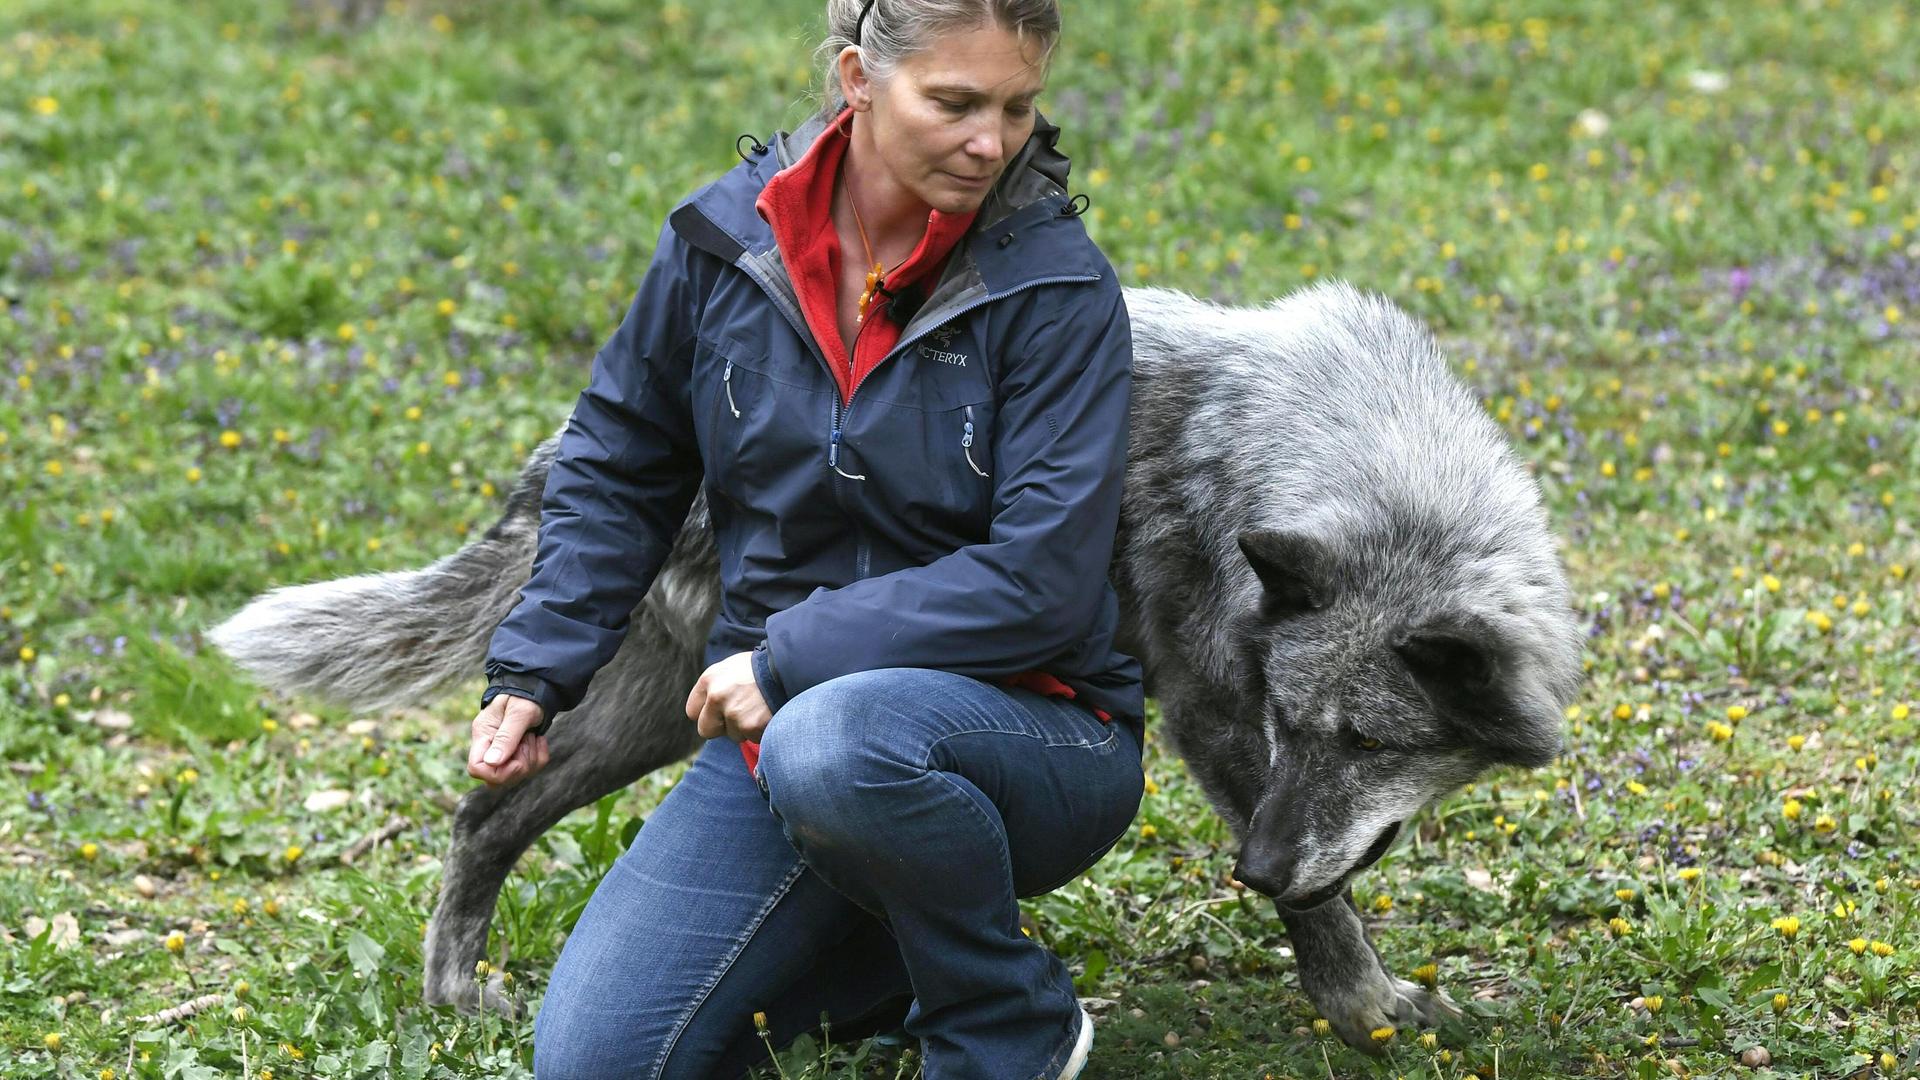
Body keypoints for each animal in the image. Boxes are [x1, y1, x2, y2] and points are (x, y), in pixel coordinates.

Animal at [214, 278, 1589, 1053]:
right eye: (1288, 724)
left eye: (1366, 743)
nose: (1248, 870)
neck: (1354, 450)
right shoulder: (1214, 723)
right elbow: (1327, 911)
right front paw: (1364, 1011)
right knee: (487, 818)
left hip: (657, 719)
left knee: (485, 813)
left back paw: (460, 996)